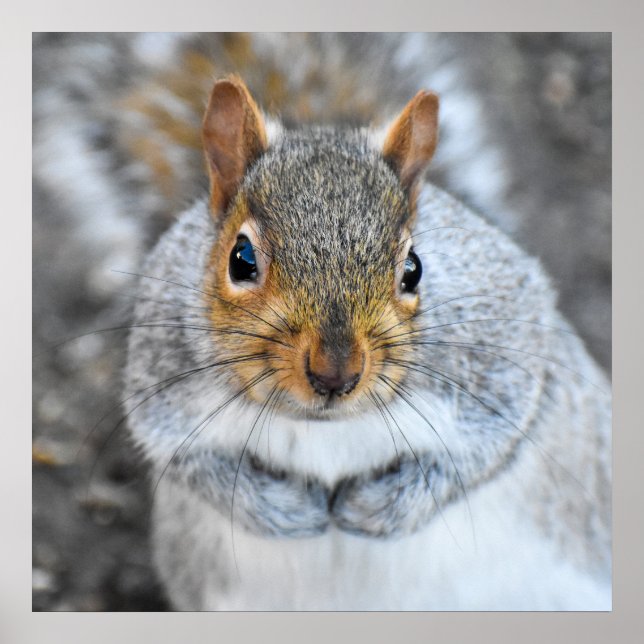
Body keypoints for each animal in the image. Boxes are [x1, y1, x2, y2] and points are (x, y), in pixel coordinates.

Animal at [124, 73, 611, 610]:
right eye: (241, 259)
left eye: (413, 269)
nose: (336, 373)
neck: (324, 426)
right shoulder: (161, 382)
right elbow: (188, 459)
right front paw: (288, 511)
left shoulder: (505, 353)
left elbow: (486, 450)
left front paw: (377, 508)